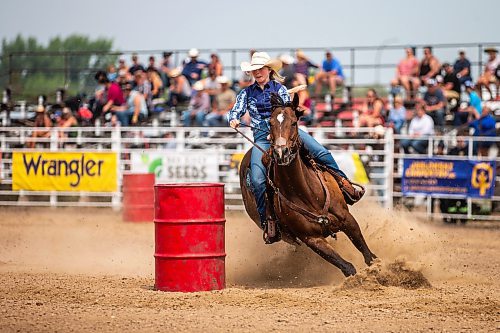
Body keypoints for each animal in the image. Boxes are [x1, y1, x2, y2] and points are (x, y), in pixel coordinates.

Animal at [240, 92, 376, 274]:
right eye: (270, 123)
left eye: (294, 122)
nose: (281, 152)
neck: (307, 194)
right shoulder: (311, 239)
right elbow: (347, 267)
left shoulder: (347, 219)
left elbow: (367, 254)